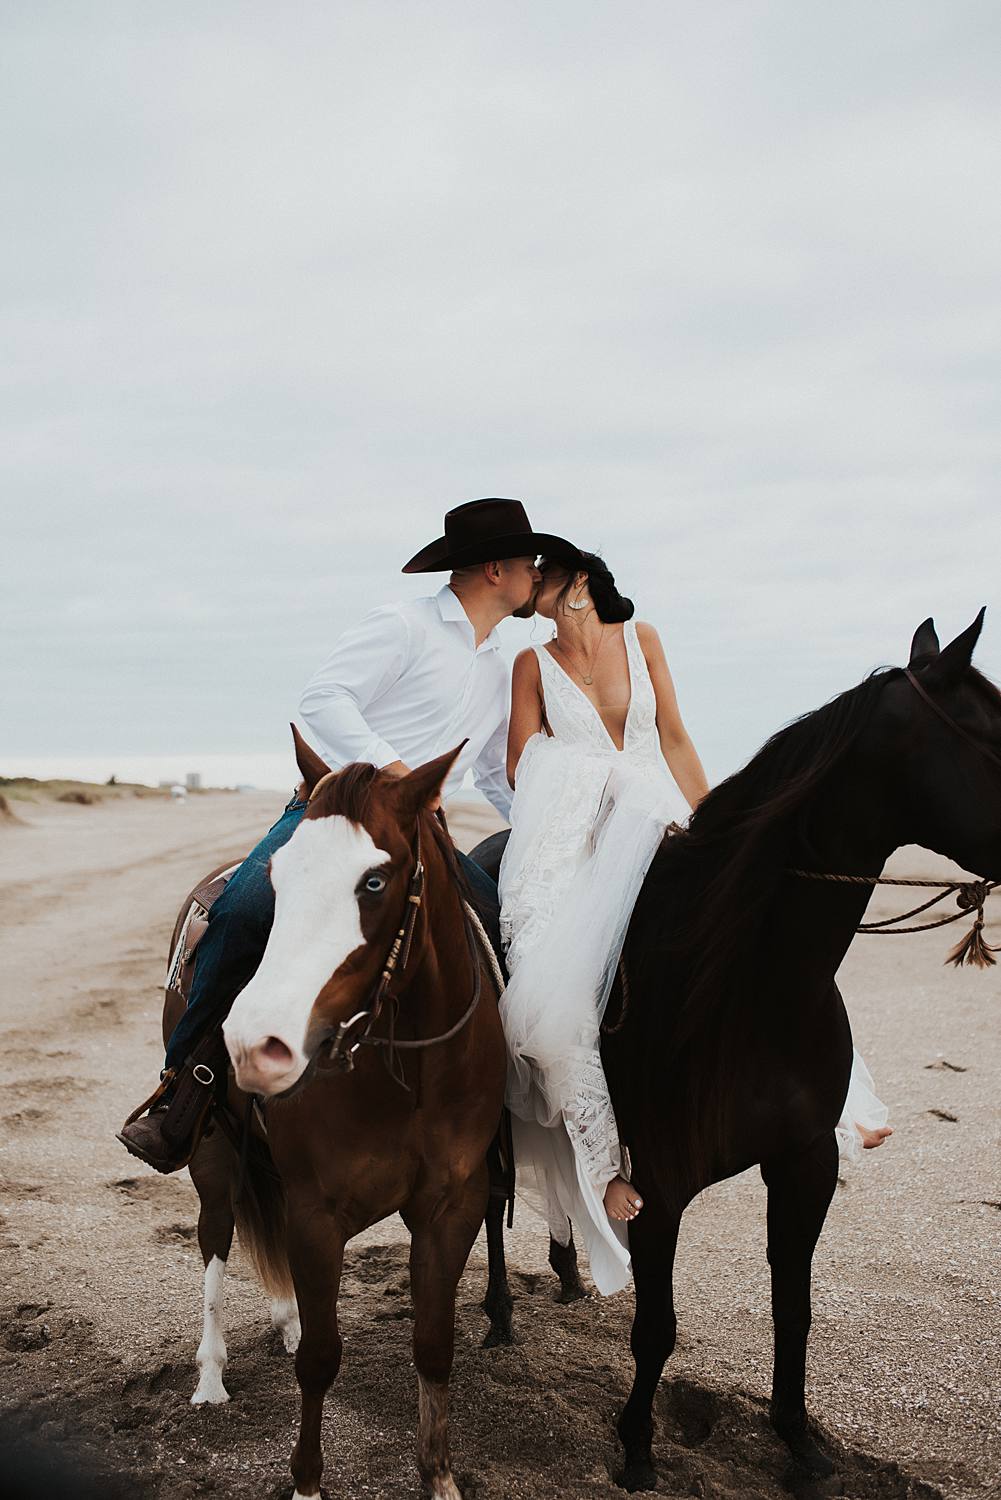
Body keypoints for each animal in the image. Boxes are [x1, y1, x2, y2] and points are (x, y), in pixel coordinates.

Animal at [169, 738, 510, 1500]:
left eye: (374, 882)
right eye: (279, 877)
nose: (255, 1045)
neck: (405, 1070)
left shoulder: (452, 1205)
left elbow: (433, 1347)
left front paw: (438, 1476)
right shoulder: (314, 1211)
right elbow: (322, 1360)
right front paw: (305, 1482)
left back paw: (286, 1321)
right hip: (213, 1158)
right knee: (214, 1242)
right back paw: (209, 1376)